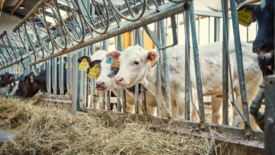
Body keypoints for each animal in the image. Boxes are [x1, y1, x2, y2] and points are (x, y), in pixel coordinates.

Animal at [109, 41, 264, 128]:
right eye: (120, 62)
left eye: (136, 61)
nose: (118, 79)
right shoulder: (168, 98)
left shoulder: (185, 95)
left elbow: (183, 117)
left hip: (247, 89)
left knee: (240, 116)